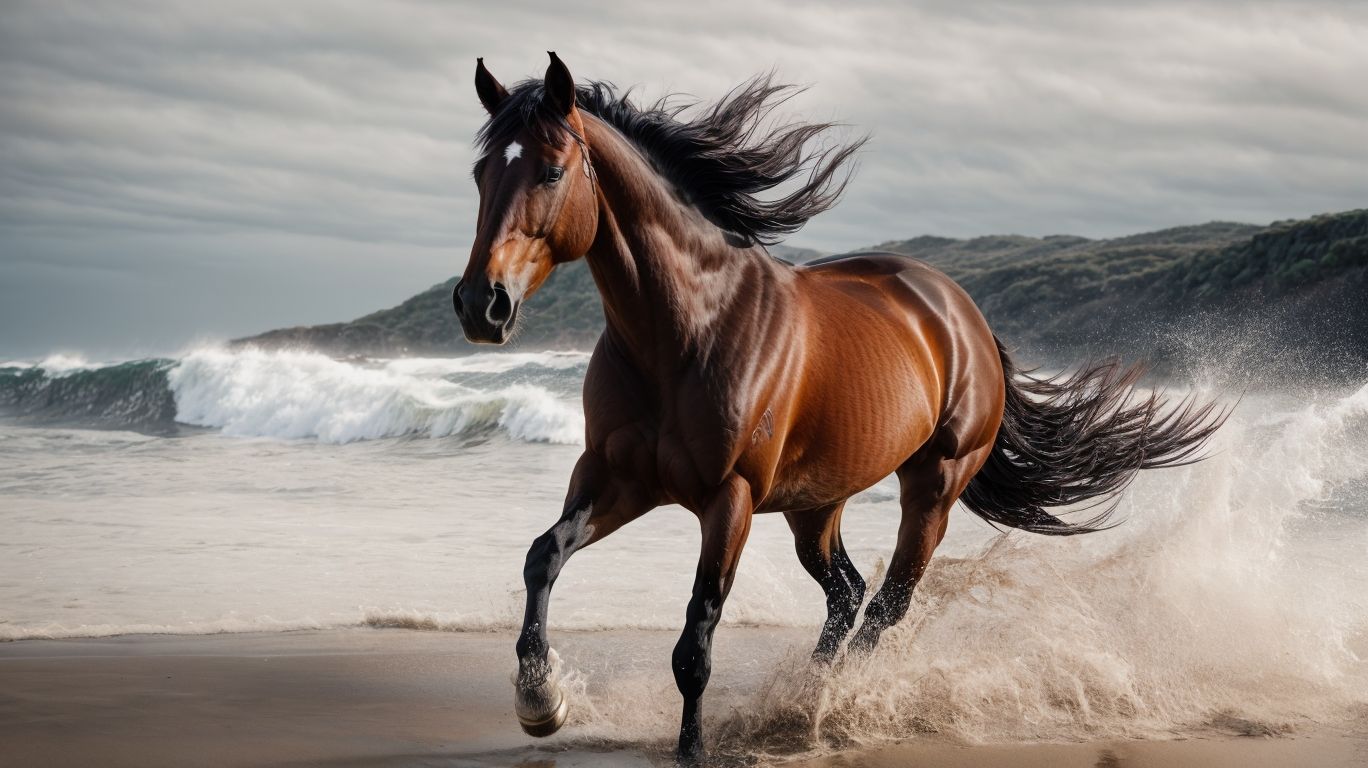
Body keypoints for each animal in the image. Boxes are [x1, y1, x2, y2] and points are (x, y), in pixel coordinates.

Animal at [452, 53, 1225, 764]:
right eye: (482, 173)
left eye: (552, 172)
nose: (480, 305)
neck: (685, 331)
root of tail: (965, 314)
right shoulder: (616, 478)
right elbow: (543, 557)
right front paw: (540, 703)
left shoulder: (727, 499)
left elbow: (696, 638)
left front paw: (690, 748)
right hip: (814, 505)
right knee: (847, 594)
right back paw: (805, 702)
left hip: (932, 486)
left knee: (886, 604)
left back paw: (833, 703)